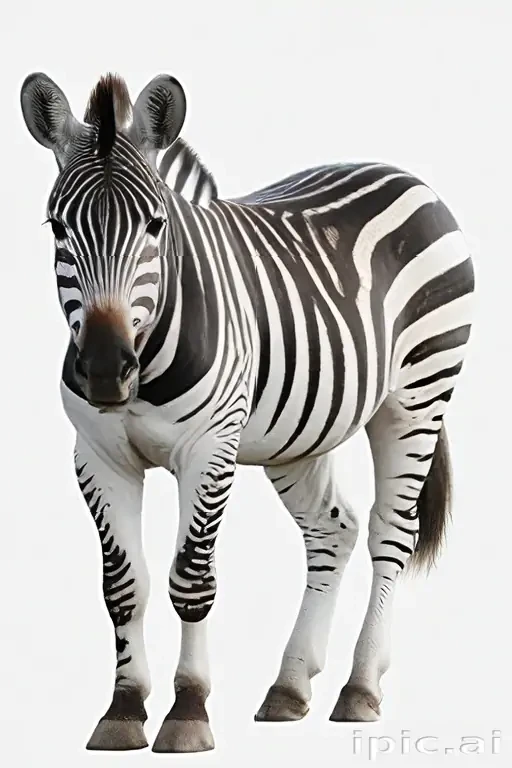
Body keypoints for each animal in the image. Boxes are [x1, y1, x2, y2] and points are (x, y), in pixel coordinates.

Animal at [20, 71, 475, 754]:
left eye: (155, 224)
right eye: (56, 226)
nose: (103, 369)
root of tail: (401, 172)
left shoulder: (210, 449)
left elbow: (191, 580)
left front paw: (188, 709)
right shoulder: (97, 456)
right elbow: (124, 586)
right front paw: (124, 708)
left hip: (417, 393)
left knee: (389, 533)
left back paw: (360, 688)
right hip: (302, 430)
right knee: (333, 529)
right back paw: (290, 686)